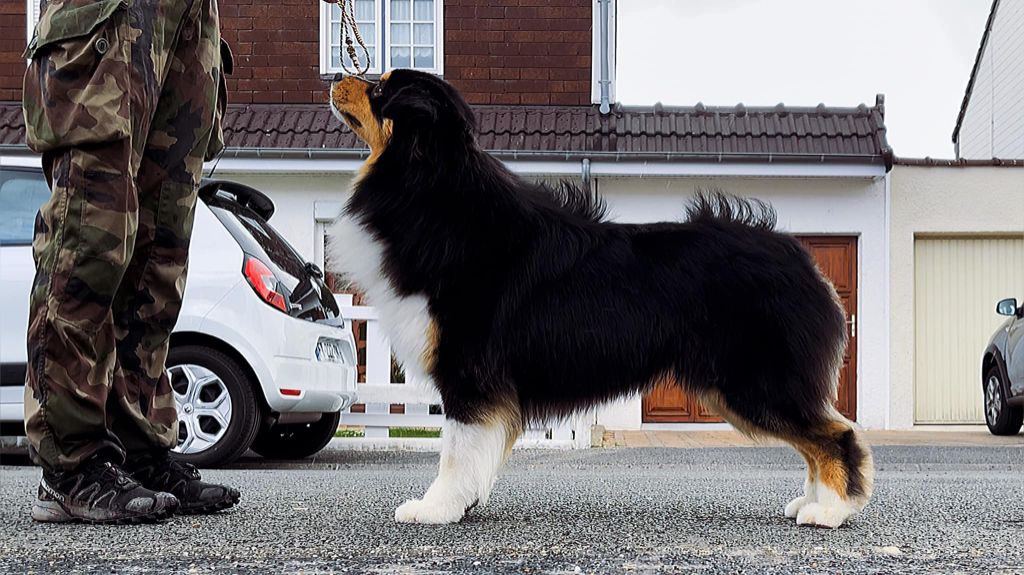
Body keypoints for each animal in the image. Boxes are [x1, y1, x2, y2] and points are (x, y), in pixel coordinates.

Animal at [325, 69, 872, 527]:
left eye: (379, 89)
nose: (331, 77)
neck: (432, 188)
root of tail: (805, 261)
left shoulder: (469, 372)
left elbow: (455, 451)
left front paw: (434, 508)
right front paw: (460, 504)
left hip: (756, 382)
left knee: (836, 435)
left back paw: (832, 511)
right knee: (815, 440)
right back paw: (810, 502)